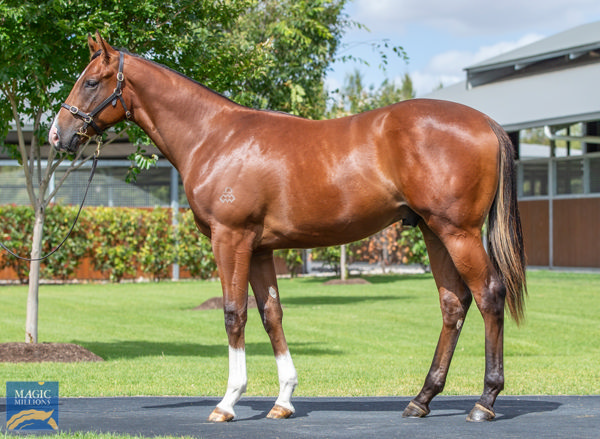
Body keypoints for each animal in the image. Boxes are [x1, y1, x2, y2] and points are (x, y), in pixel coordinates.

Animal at [50, 32, 524, 424]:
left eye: (91, 82)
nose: (58, 135)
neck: (213, 136)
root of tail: (487, 123)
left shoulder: (231, 239)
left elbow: (234, 314)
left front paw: (228, 402)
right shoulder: (260, 248)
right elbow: (271, 314)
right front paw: (283, 401)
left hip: (457, 231)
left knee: (488, 295)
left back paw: (484, 401)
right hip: (432, 230)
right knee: (453, 304)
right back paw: (421, 399)